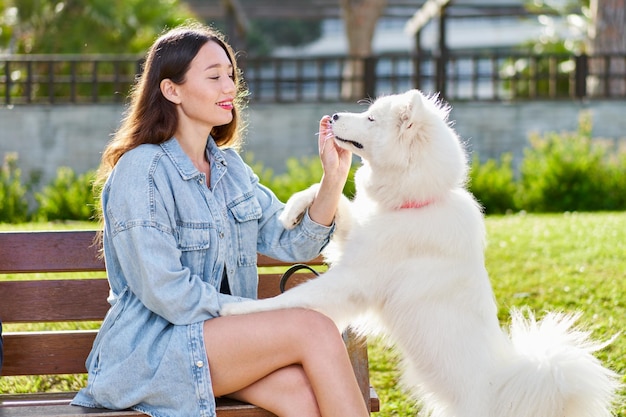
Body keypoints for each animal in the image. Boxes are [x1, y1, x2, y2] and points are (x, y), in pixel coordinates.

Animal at [222, 88, 616, 416]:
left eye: (370, 119)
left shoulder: (353, 279)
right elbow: (326, 199)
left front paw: (234, 309)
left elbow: (291, 299)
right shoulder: (356, 236)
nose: (332, 115)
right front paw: (290, 213)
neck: (413, 204)